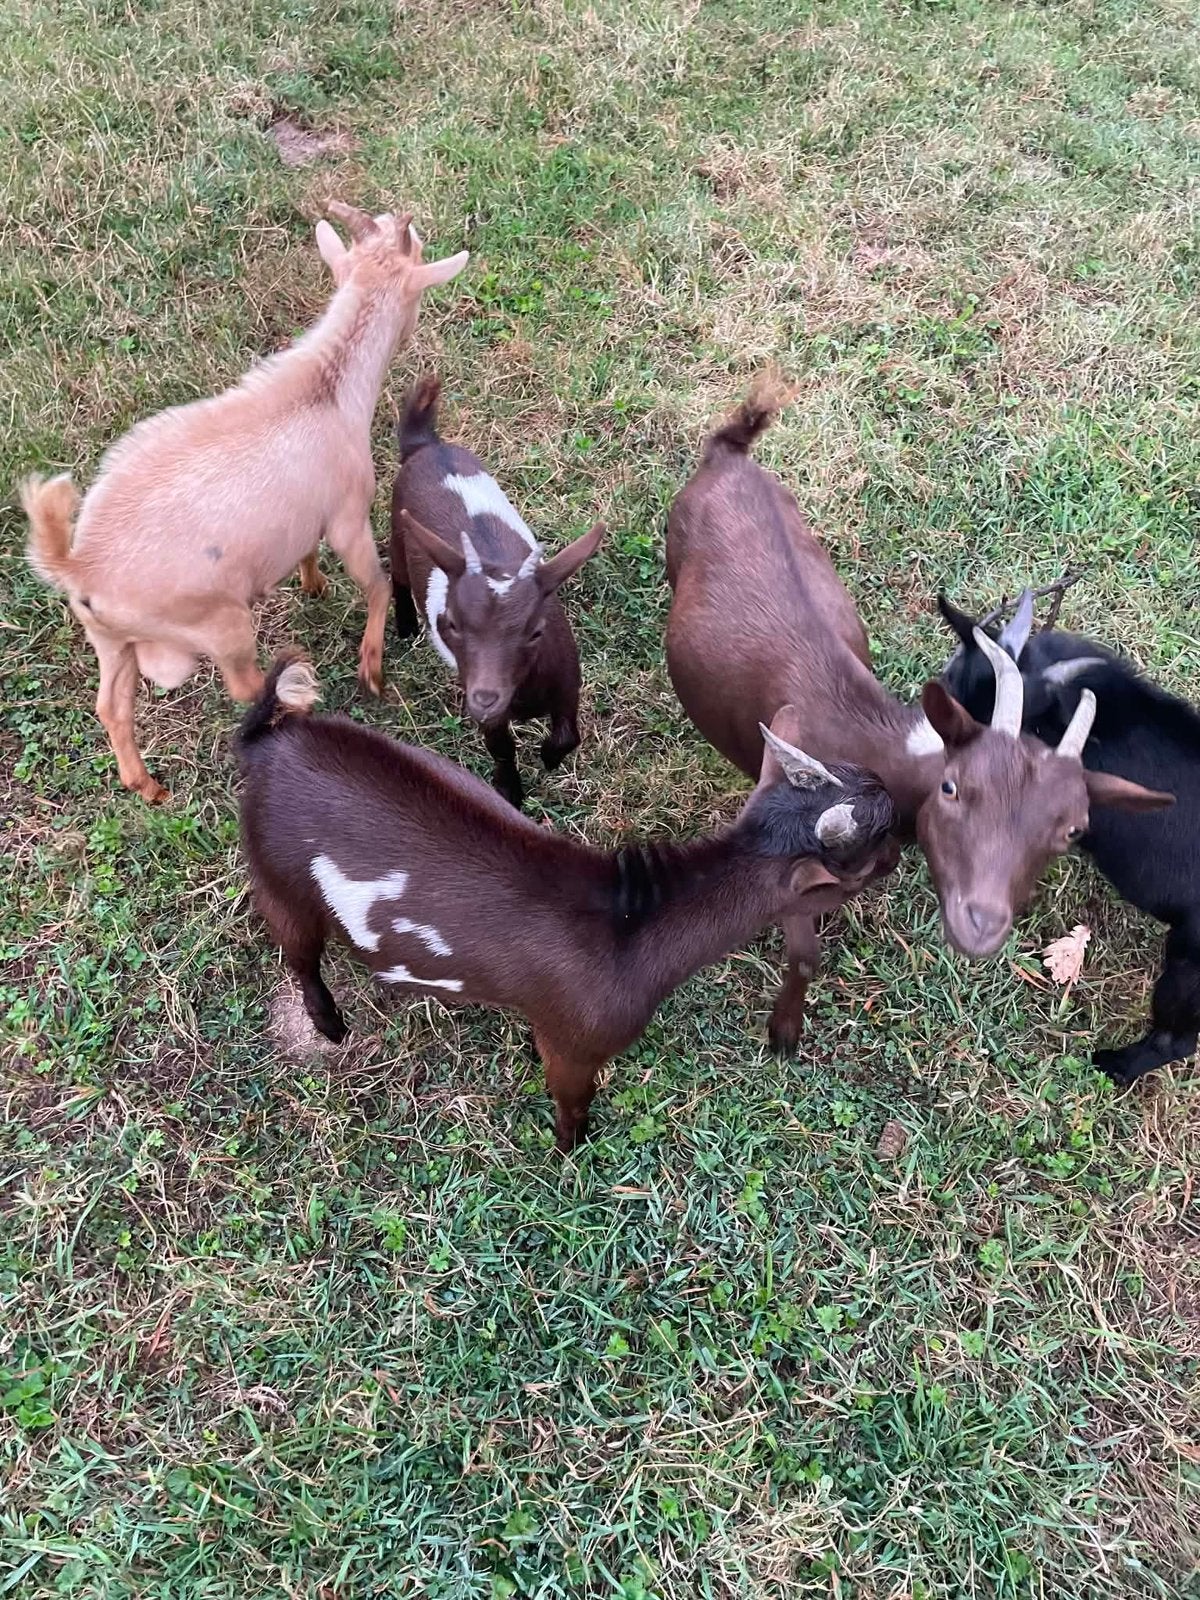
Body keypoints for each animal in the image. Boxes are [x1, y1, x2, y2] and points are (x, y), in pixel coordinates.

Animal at [22, 202, 469, 804]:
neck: (328, 390)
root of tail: (78, 563)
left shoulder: (305, 517)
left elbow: (306, 551)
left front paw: (313, 584)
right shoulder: (348, 516)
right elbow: (375, 584)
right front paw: (373, 671)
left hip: (111, 642)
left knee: (111, 706)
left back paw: (148, 787)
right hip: (221, 624)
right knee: (245, 684)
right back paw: (295, 699)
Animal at [237, 653, 897, 1150]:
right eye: (872, 849)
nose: (901, 847)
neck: (633, 926)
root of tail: (266, 743)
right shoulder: (580, 1042)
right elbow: (572, 1098)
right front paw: (572, 1148)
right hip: (280, 877)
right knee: (298, 953)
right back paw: (329, 1026)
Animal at [389, 376, 604, 808]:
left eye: (536, 631)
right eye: (450, 624)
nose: (486, 698)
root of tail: (425, 445)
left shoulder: (567, 682)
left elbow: (568, 734)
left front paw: (549, 759)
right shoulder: (480, 694)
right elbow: (501, 748)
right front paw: (510, 792)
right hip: (395, 523)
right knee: (397, 576)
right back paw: (404, 626)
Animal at [664, 381, 1171, 1050]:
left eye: (1073, 830)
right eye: (953, 787)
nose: (979, 925)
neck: (874, 740)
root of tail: (728, 453)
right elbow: (804, 952)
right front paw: (784, 1033)